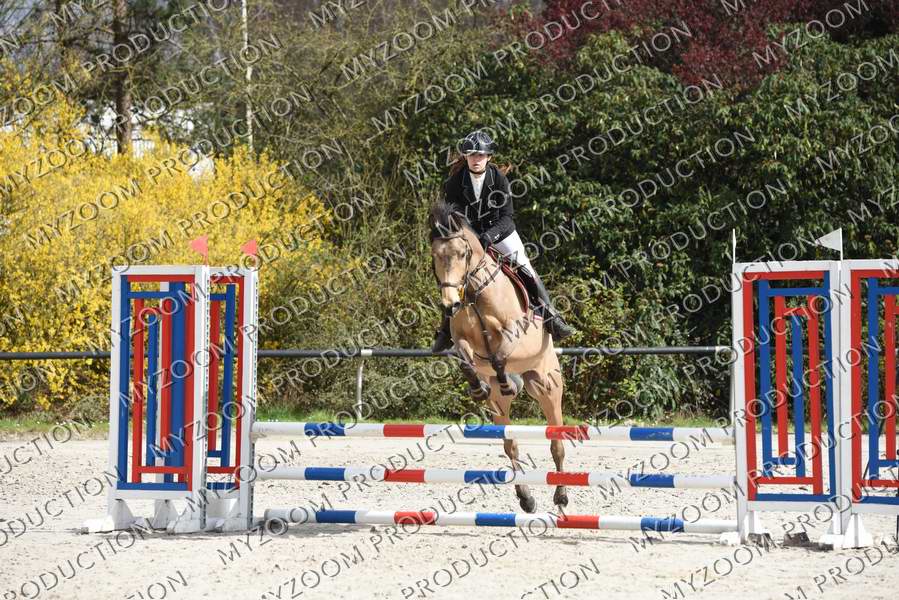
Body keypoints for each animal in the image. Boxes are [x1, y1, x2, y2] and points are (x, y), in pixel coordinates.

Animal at [429, 201, 567, 511]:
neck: (474, 291)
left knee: (557, 444)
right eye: (435, 256)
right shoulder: (463, 340)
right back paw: (526, 498)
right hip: (500, 407)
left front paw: (504, 380)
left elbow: (499, 356)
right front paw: (478, 388)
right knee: (510, 444)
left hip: (547, 385)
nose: (449, 304)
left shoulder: (517, 335)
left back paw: (561, 496)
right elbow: (467, 359)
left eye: (462, 253)